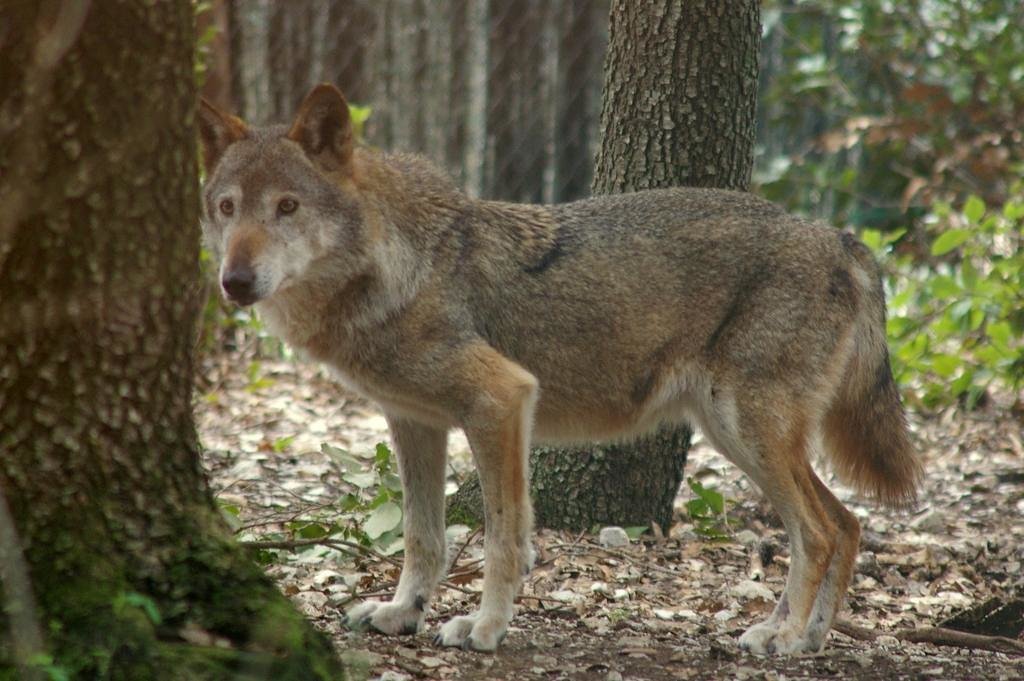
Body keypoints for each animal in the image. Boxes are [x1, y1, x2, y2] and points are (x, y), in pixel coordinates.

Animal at [197, 84, 921, 655]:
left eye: (287, 207)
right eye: (228, 208)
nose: (234, 281)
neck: (395, 266)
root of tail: (839, 237)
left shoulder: (501, 400)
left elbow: (502, 536)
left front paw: (484, 629)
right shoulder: (414, 424)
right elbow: (422, 536)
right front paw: (403, 612)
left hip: (746, 431)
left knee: (820, 531)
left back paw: (787, 637)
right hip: (738, 437)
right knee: (847, 523)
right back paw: (809, 634)